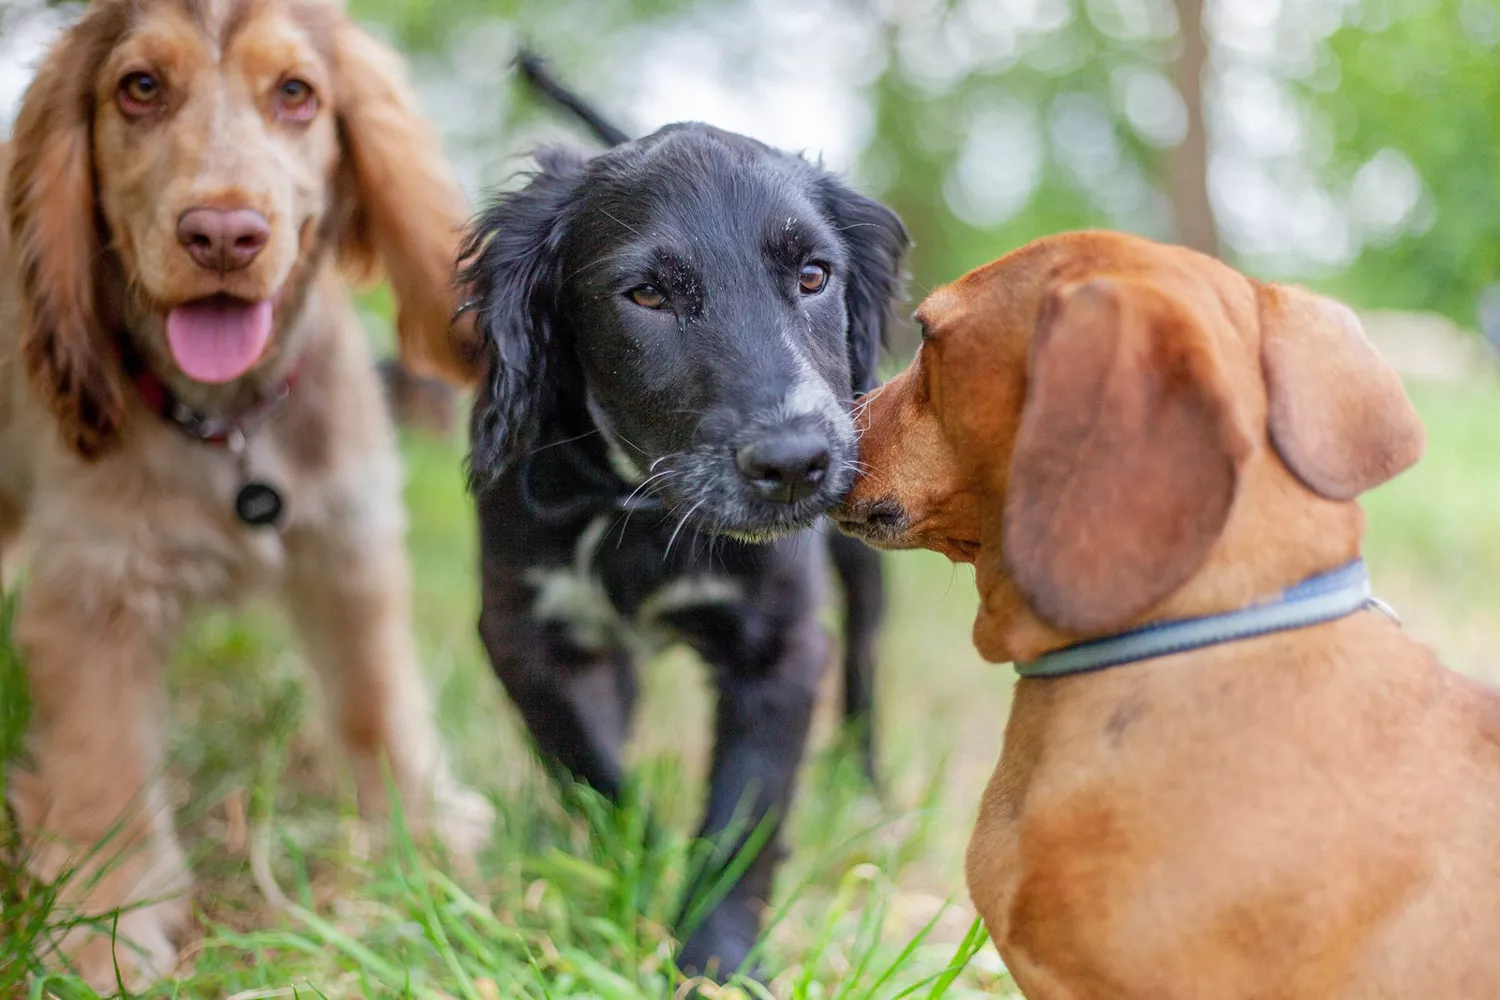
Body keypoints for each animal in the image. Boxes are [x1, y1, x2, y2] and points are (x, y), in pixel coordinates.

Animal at [456, 58, 900, 983]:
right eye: (648, 295)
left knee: (867, 666)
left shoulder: (781, 645)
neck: (646, 512)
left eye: (814, 276)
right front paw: (632, 863)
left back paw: (869, 789)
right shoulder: (521, 629)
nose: (796, 463)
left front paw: (718, 960)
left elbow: (743, 814)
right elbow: (592, 766)